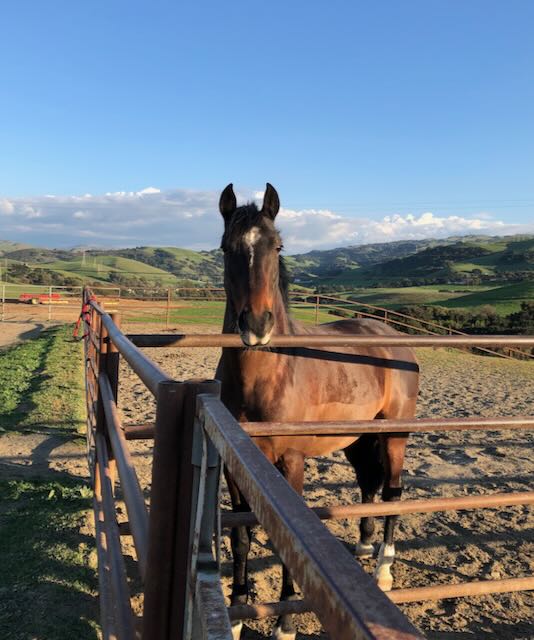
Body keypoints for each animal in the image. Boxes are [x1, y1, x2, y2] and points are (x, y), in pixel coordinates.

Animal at [216, 182, 420, 636]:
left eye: (277, 246)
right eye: (225, 247)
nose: (256, 325)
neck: (267, 377)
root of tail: (391, 336)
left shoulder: (290, 464)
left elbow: (288, 543)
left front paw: (285, 625)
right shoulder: (234, 469)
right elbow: (240, 536)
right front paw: (235, 616)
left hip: (393, 434)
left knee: (393, 491)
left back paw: (383, 570)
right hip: (357, 437)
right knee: (368, 483)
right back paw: (363, 546)